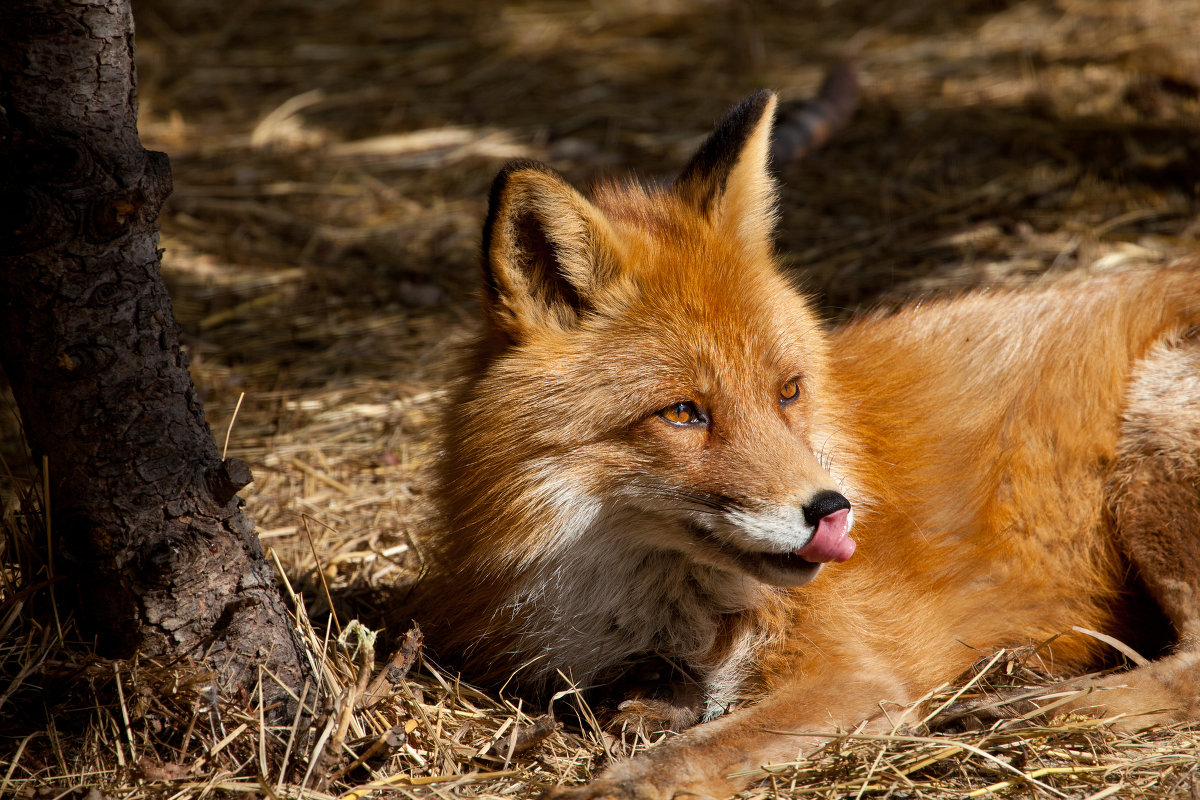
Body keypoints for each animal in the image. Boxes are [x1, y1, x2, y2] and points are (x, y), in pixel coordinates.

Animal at [410, 89, 1200, 800]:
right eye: (683, 413)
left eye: (787, 391)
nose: (831, 511)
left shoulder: (855, 676)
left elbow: (697, 750)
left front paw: (619, 783)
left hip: (1151, 456)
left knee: (1190, 670)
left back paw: (1023, 708)